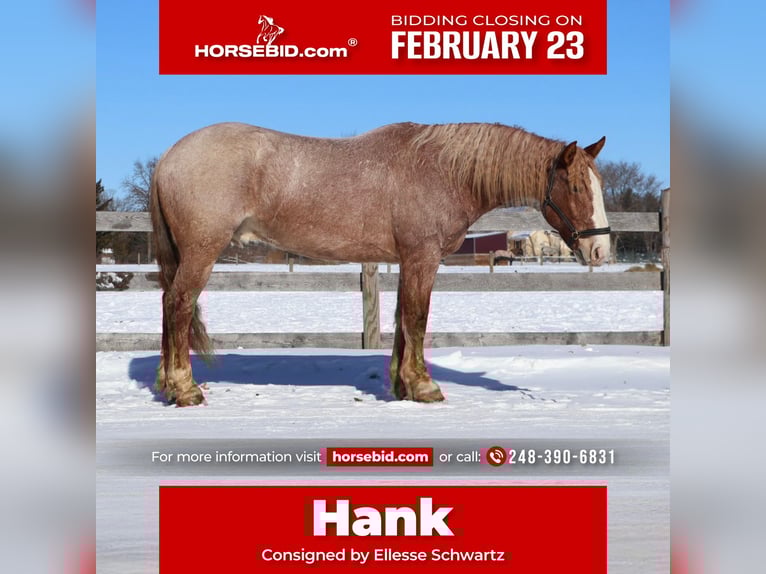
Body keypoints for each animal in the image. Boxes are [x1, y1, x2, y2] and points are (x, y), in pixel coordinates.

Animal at [150, 122, 610, 406]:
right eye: (574, 186)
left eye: (599, 183)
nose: (600, 251)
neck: (442, 171)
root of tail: (170, 156)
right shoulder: (423, 257)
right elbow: (418, 318)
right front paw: (424, 386)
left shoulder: (408, 260)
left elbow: (404, 320)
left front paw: (402, 386)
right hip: (201, 251)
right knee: (178, 306)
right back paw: (185, 389)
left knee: (170, 306)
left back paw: (167, 385)